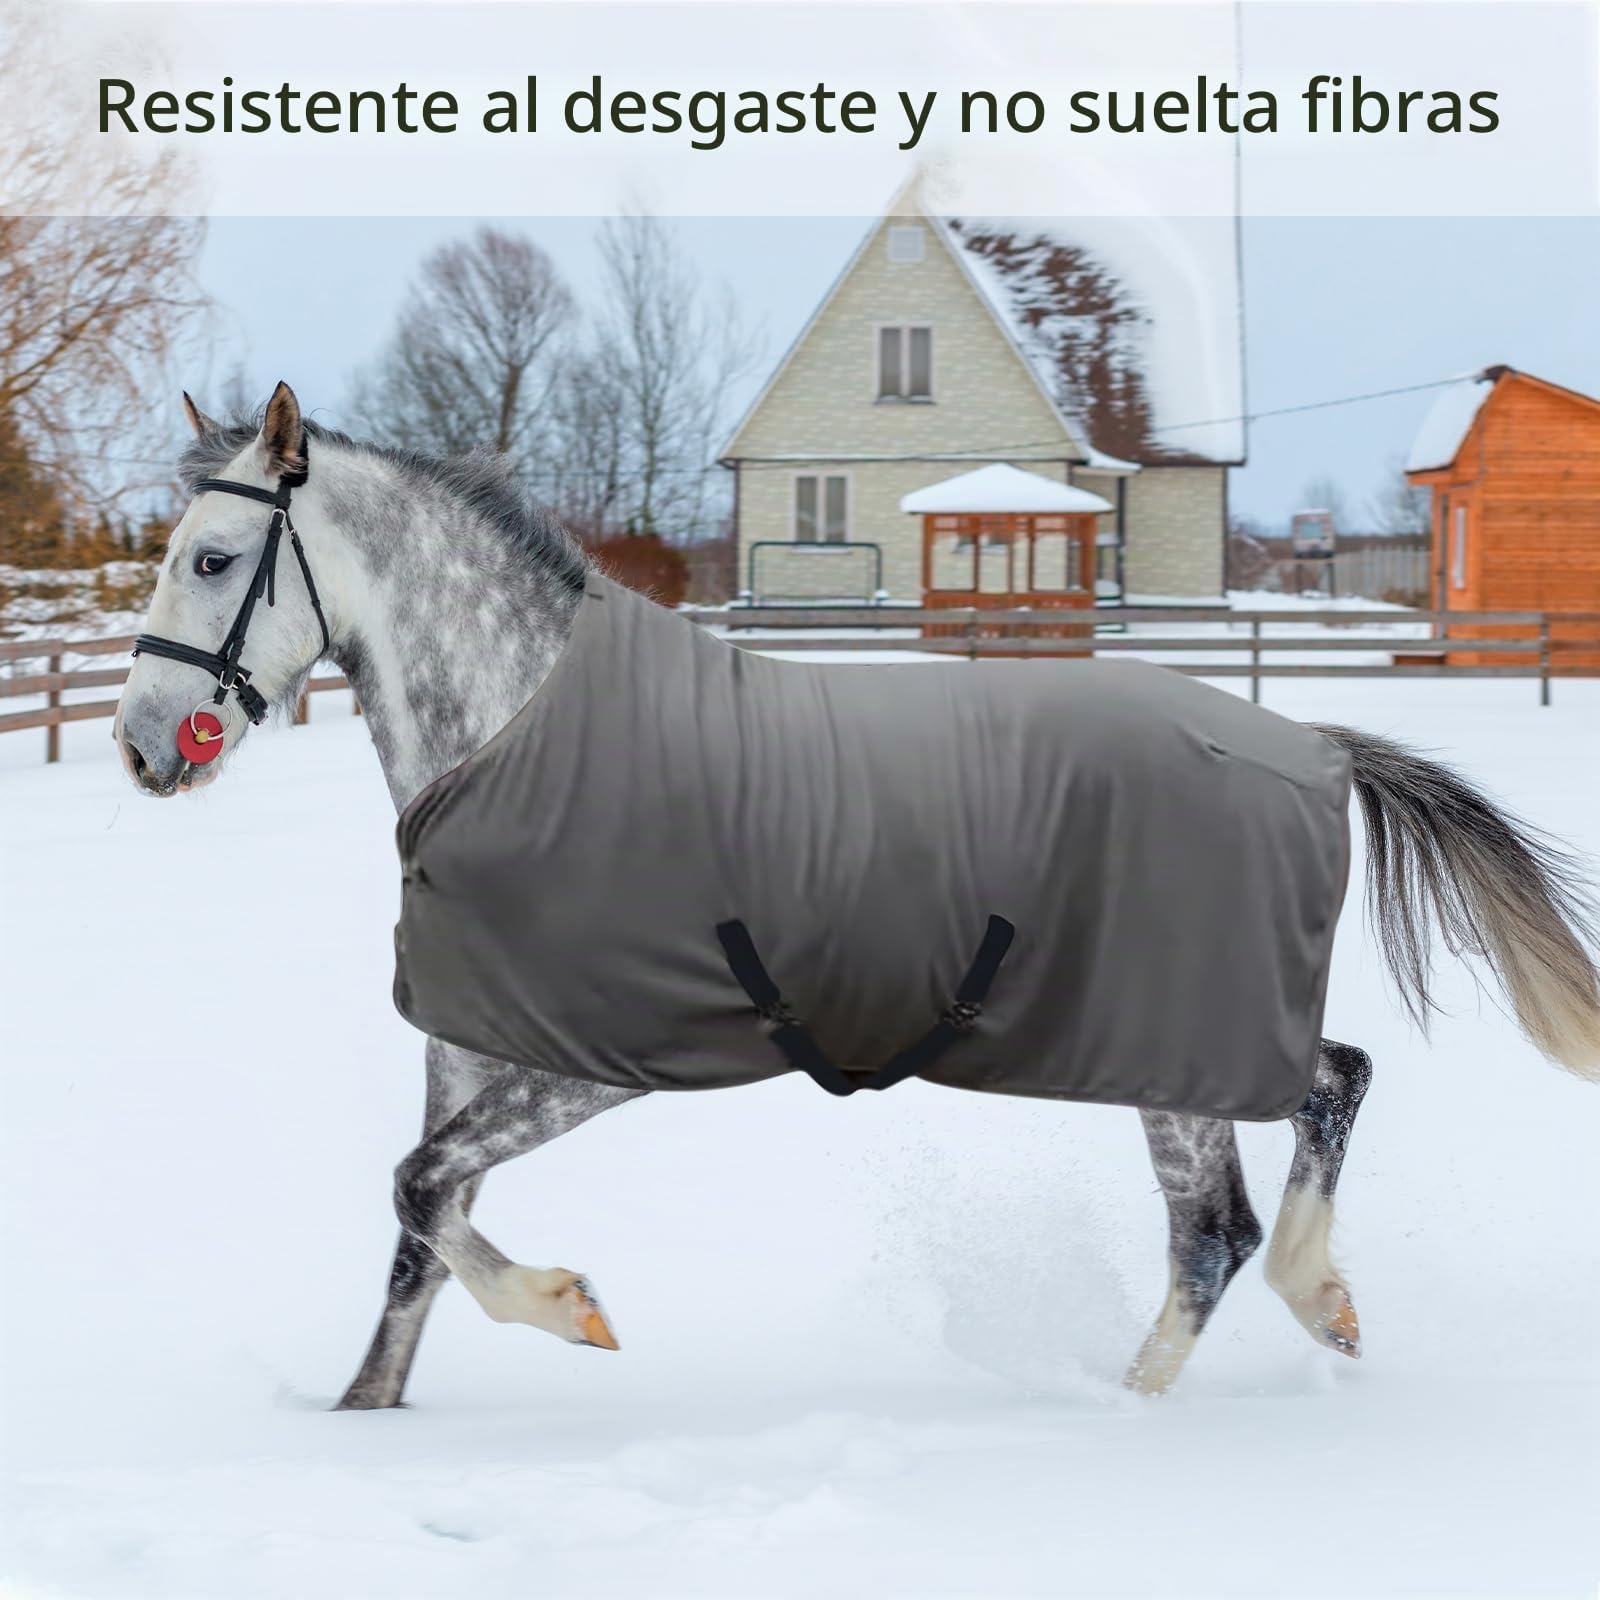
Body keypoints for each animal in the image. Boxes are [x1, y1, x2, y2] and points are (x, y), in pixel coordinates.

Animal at [114, 384, 1600, 1408]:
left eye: (209, 558)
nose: (138, 746)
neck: (518, 735)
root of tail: (1313, 745)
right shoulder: (467, 1048)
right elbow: (418, 1232)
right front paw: (365, 1418)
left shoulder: (593, 1064)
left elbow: (421, 1190)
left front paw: (572, 1306)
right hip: (1193, 1036)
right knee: (1321, 1097)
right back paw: (1313, 1310)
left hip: (1178, 1044)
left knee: (1222, 1224)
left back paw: (1157, 1396)